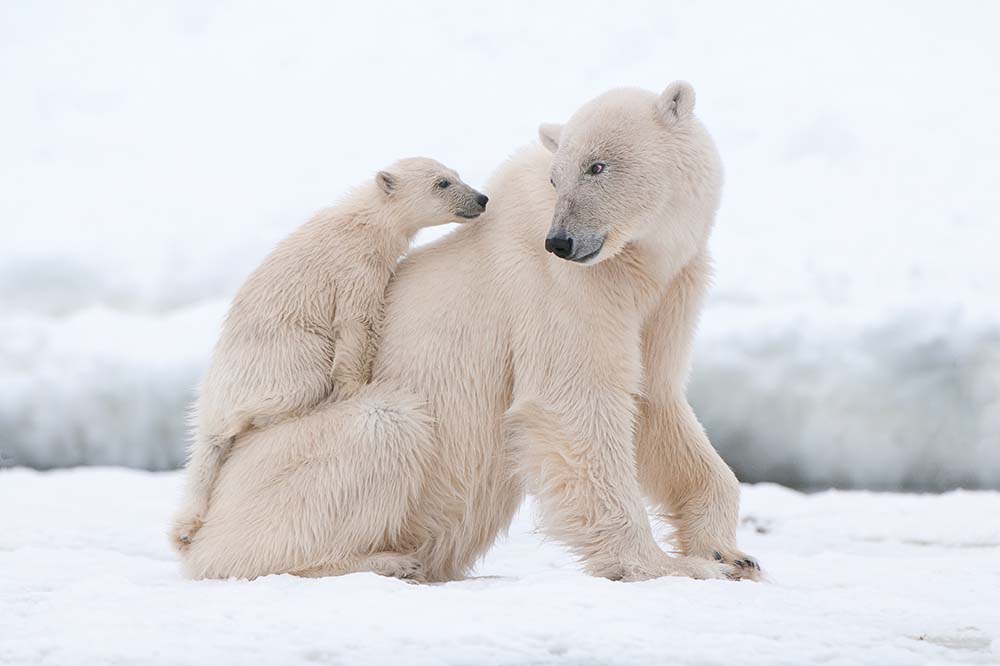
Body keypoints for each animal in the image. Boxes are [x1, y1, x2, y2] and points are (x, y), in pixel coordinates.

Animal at [171, 157, 488, 548]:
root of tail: (212, 402)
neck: (365, 221)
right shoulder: (354, 268)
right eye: (442, 183)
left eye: (457, 175)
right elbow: (356, 323)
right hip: (282, 357)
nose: (481, 198)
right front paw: (354, 387)